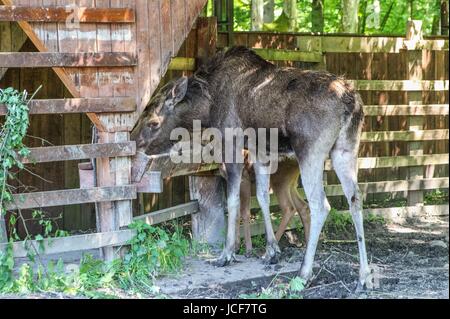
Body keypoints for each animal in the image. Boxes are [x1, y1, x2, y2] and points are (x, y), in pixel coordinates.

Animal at [132, 47, 374, 290]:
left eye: (153, 123)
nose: (136, 143)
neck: (207, 108)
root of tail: (352, 103)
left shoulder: (233, 144)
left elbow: (233, 201)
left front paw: (227, 254)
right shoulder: (259, 151)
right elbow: (262, 196)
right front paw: (271, 251)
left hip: (311, 150)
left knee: (320, 205)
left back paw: (305, 272)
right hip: (345, 149)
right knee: (355, 198)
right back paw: (364, 276)